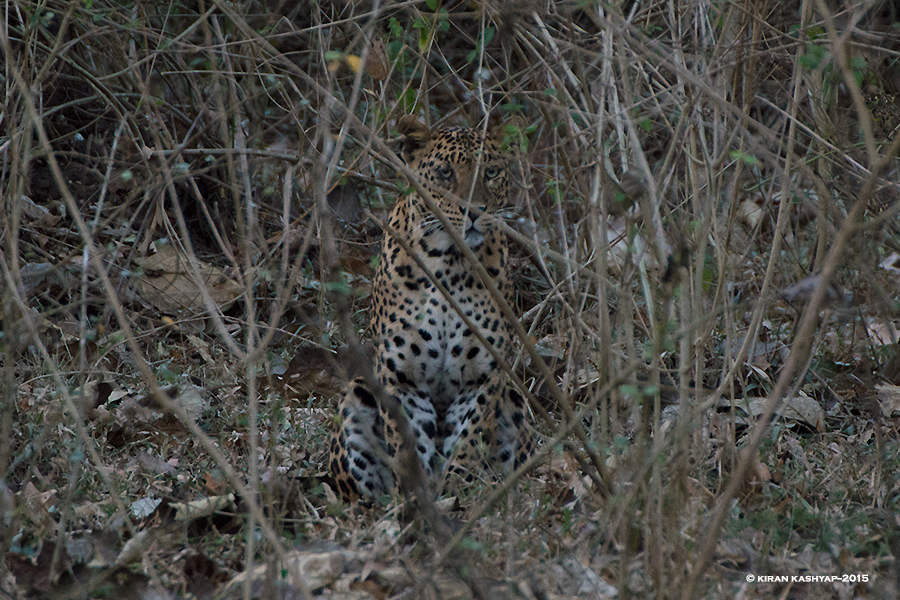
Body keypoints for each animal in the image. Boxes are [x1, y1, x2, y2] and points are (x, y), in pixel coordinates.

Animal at [328, 117, 532, 502]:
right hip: (356, 392)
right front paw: (416, 499)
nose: (474, 212)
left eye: (492, 172)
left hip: (512, 396)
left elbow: (468, 441)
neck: (450, 265)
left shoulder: (482, 377)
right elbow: (406, 444)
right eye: (444, 173)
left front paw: (456, 492)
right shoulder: (402, 377)